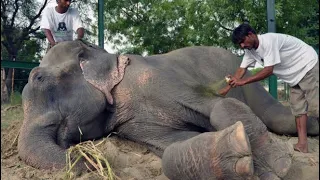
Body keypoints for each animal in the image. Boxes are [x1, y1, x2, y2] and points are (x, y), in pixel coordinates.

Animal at [18, 39, 318, 180]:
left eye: (38, 78)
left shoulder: (159, 79)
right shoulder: (133, 123)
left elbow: (217, 104)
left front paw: (279, 167)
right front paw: (243, 159)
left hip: (250, 83)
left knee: (279, 119)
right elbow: (171, 146)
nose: (87, 160)